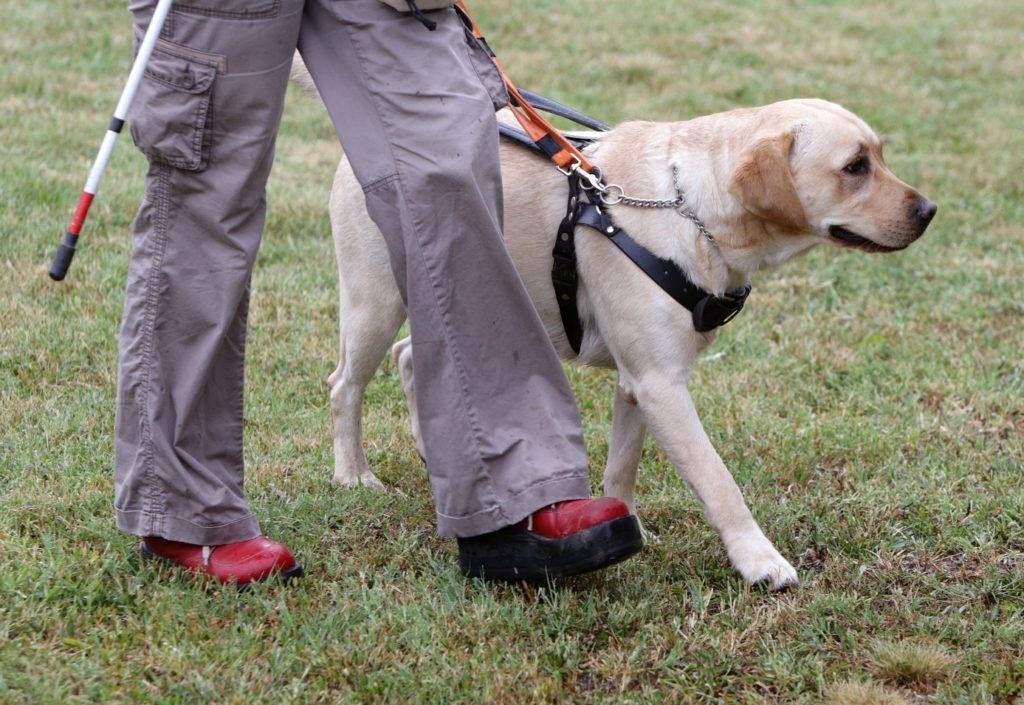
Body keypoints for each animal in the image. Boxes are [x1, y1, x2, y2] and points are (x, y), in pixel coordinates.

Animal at [325, 99, 937, 590]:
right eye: (854, 167)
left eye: (879, 156)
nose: (929, 211)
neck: (686, 208)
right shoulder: (660, 385)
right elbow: (719, 482)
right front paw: (758, 560)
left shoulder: (637, 385)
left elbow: (622, 470)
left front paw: (626, 525)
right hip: (375, 304)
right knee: (344, 387)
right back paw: (353, 476)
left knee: (410, 357)